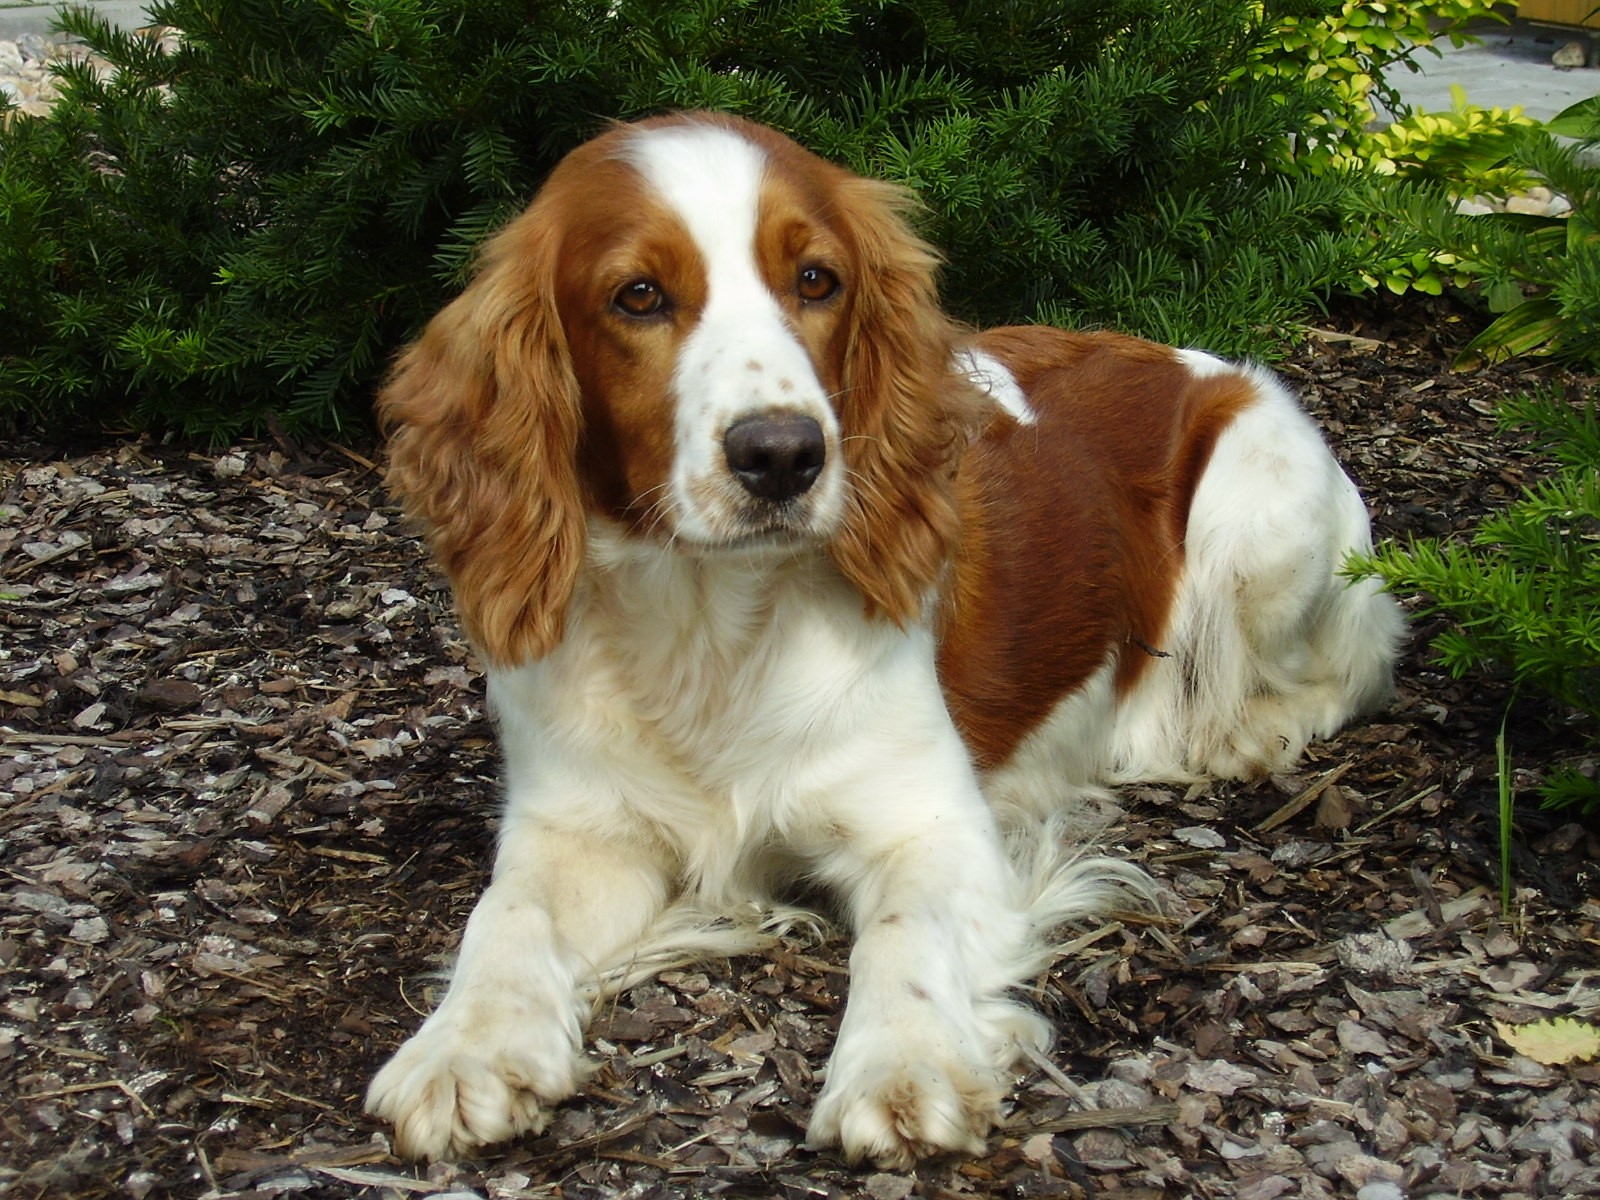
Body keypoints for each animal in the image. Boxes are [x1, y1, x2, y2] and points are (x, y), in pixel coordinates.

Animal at [366, 110, 1401, 1164]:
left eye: (817, 279)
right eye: (638, 295)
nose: (783, 454)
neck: (713, 628)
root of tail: (1208, 360)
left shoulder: (933, 826)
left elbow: (906, 935)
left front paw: (905, 1065)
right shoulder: (575, 829)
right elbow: (505, 916)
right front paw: (462, 1048)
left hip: (1260, 516)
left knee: (1360, 658)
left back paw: (1241, 733)